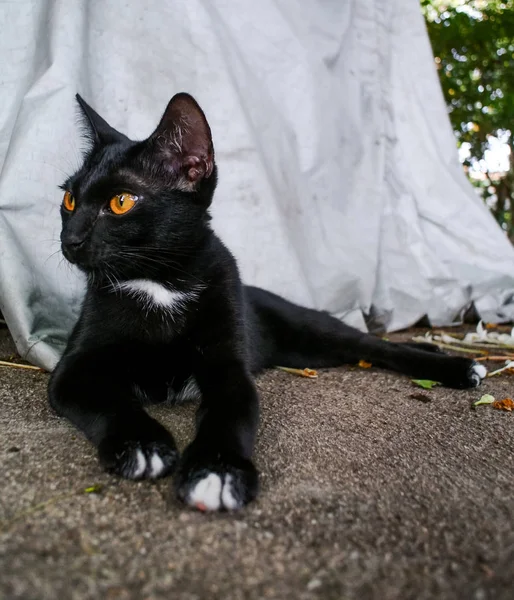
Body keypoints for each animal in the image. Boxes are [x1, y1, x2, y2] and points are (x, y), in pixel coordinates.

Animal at [48, 92, 484, 510]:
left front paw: (217, 470)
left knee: (374, 346)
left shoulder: (228, 365)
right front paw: (140, 443)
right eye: (69, 199)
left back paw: (458, 366)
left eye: (121, 202)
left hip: (314, 331)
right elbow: (108, 399)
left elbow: (231, 412)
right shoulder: (72, 369)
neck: (160, 284)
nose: (70, 240)